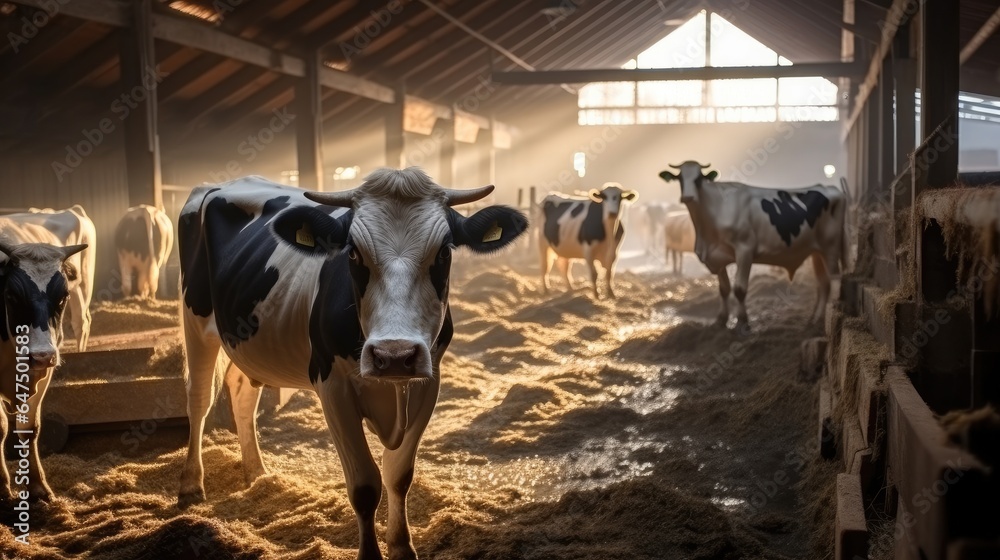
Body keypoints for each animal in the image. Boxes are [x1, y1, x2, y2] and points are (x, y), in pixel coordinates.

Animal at [0, 217, 87, 500]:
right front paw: (3, 487)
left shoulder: (42, 374)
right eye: (11, 295)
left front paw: (38, 486)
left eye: (63, 296)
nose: (41, 355)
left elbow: (30, 427)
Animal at [177, 167, 532, 560]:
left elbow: (398, 474)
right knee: (199, 399)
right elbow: (364, 485)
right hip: (195, 319)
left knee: (242, 395)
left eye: (443, 253)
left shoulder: (429, 382)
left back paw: (257, 473)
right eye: (354, 254)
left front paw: (402, 547)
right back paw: (191, 485)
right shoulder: (332, 387)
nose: (394, 355)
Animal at [660, 160, 848, 330]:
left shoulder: (745, 250)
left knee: (834, 280)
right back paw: (814, 320)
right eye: (679, 178)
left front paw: (742, 323)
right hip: (816, 251)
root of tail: (831, 188)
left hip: (830, 247)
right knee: (823, 284)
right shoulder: (718, 255)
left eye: (699, 178)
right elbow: (724, 289)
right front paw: (720, 321)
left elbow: (739, 289)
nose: (688, 197)